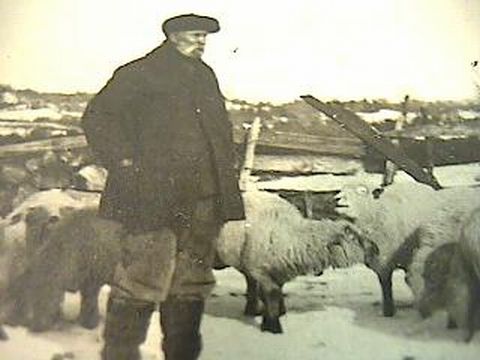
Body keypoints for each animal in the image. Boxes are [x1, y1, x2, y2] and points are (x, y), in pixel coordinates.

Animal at [217, 190, 378, 334]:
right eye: (356, 238)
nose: (377, 249)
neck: (293, 237)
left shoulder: (276, 269)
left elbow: (275, 294)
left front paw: (273, 316)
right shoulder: (260, 270)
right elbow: (272, 295)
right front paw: (273, 327)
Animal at [336, 181, 480, 316]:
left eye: (362, 191)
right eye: (341, 189)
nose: (338, 198)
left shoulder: (386, 256)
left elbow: (386, 281)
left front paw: (389, 311)